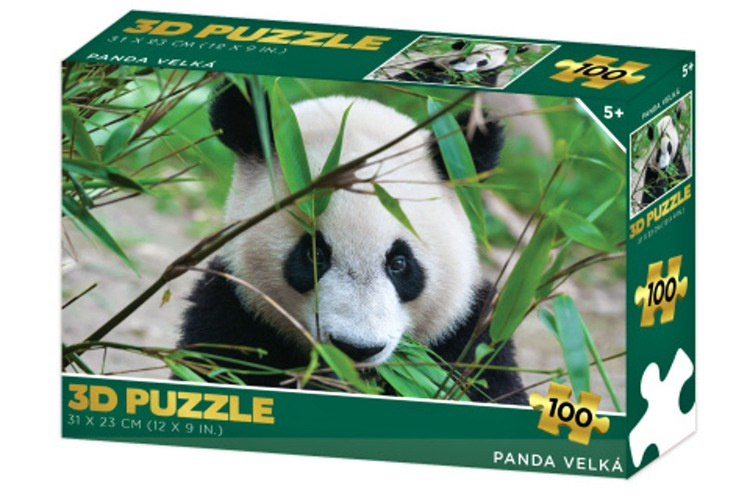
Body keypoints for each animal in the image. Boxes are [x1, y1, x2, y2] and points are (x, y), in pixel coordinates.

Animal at [395, 41, 526, 87]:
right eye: (461, 58)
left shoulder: (491, 74)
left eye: (482, 62)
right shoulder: (431, 65)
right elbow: (411, 75)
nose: (459, 71)